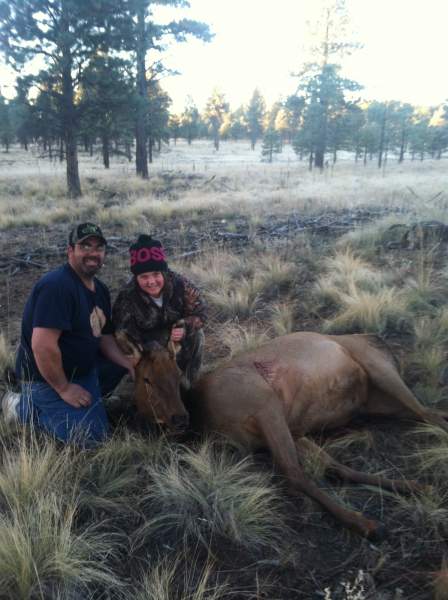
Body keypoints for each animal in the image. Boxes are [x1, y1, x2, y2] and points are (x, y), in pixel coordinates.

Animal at [129, 332, 448, 540]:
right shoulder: (292, 431)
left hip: (378, 368)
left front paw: (364, 524)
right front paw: (409, 487)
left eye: (176, 372)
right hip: (378, 403)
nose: (178, 418)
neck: (205, 417)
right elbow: (336, 468)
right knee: (433, 413)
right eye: (146, 379)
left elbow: (293, 472)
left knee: (429, 414)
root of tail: (382, 343)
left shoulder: (265, 404)